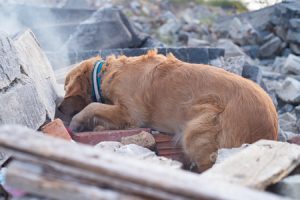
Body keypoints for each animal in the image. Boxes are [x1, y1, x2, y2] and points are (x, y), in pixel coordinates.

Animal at [58, 49, 278, 170]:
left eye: (66, 88)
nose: (58, 108)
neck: (105, 73)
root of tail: (271, 130)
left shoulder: (132, 113)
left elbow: (93, 105)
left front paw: (78, 121)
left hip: (200, 124)